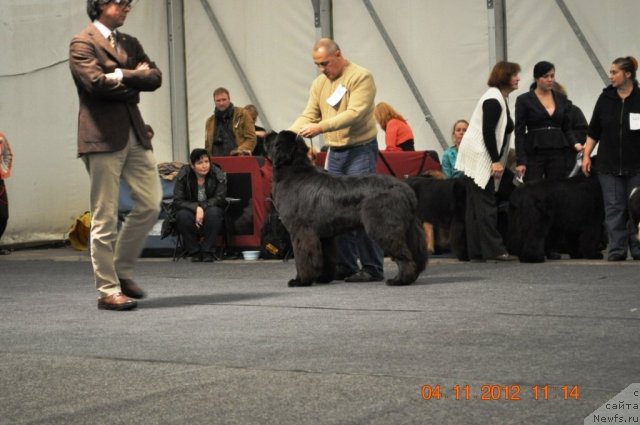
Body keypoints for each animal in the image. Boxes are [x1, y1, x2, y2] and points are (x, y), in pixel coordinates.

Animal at [268, 131, 428, 286]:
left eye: (275, 137)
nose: (268, 134)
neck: (294, 172)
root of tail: (405, 188)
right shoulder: (323, 236)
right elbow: (325, 258)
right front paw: (322, 278)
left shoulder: (301, 232)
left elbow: (303, 258)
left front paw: (301, 280)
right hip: (407, 229)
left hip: (384, 227)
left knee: (404, 255)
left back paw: (400, 280)